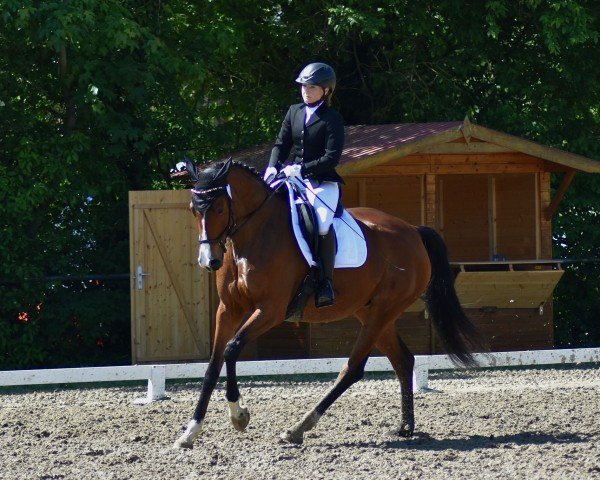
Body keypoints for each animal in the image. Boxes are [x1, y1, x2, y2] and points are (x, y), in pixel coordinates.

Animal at [173, 159, 482, 448]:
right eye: (193, 209)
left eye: (219, 209)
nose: (209, 261)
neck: (252, 236)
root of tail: (414, 232)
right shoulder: (229, 309)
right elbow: (213, 365)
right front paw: (190, 432)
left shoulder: (271, 310)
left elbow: (232, 348)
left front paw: (239, 416)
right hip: (372, 313)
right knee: (403, 361)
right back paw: (405, 427)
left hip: (381, 314)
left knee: (353, 369)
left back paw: (298, 428)